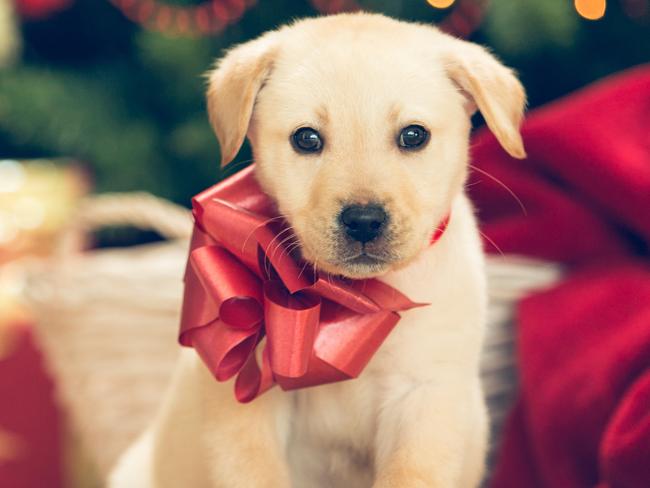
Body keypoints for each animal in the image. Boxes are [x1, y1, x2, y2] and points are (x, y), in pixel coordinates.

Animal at [109, 12, 524, 488]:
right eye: (306, 139)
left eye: (414, 136)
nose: (363, 220)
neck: (353, 297)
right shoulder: (246, 401)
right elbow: (255, 474)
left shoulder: (423, 397)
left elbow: (410, 474)